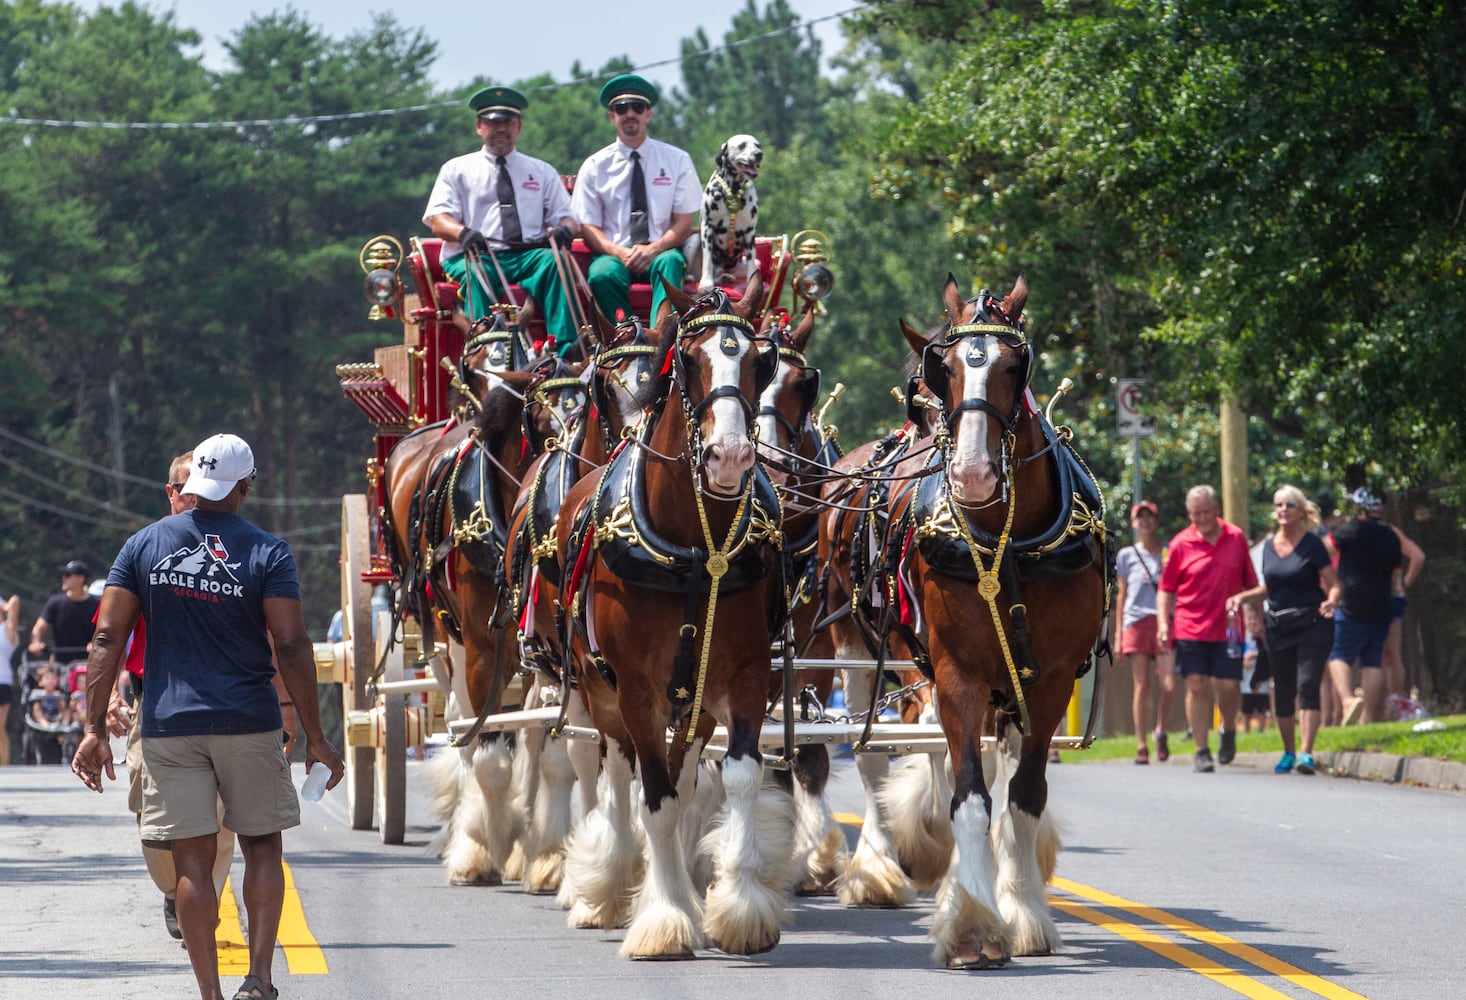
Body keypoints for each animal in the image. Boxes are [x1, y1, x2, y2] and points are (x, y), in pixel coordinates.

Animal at [686, 132, 762, 290]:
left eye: (758, 145)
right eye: (742, 145)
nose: (759, 154)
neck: (733, 189)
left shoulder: (750, 231)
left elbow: (752, 263)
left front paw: (752, 282)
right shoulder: (707, 227)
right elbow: (708, 259)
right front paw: (706, 282)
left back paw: (725, 277)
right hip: (693, 241)